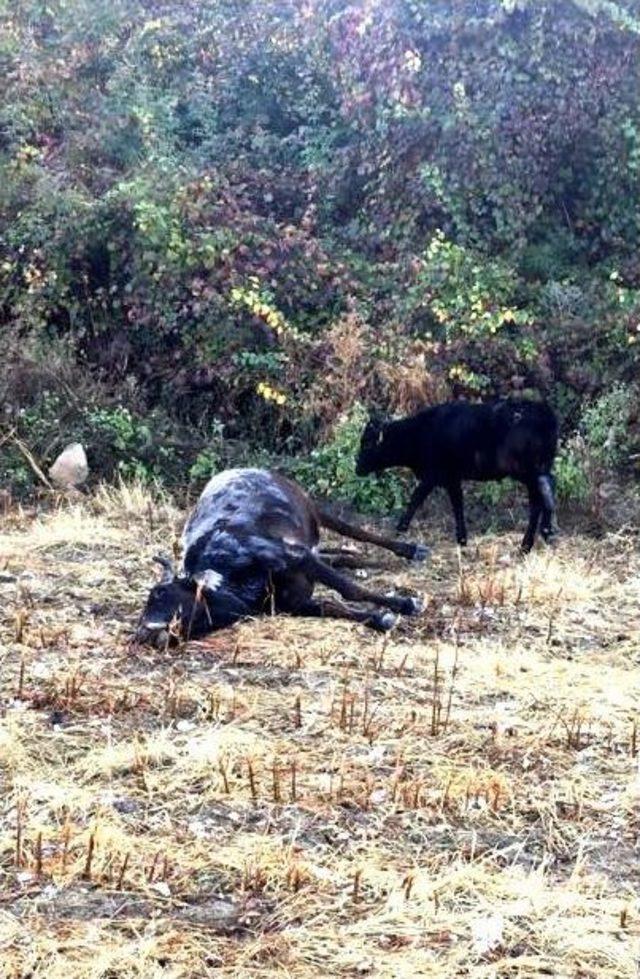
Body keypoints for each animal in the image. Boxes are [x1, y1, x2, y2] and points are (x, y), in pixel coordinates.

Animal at [134, 468, 424, 644]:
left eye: (161, 593)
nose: (143, 633)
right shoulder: (293, 603)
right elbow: (331, 606)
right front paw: (380, 619)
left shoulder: (298, 557)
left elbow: (350, 590)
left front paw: (406, 604)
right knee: (340, 556)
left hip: (314, 511)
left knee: (354, 532)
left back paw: (411, 551)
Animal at [358, 398, 556, 552]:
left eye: (367, 443)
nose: (357, 467)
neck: (421, 431)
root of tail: (543, 411)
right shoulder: (451, 478)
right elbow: (457, 504)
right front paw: (462, 538)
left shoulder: (434, 474)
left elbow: (416, 498)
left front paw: (400, 528)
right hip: (538, 468)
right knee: (544, 494)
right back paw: (536, 538)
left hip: (527, 470)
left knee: (540, 496)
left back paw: (536, 537)